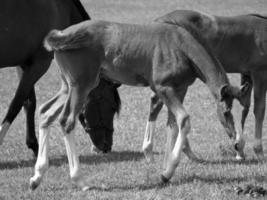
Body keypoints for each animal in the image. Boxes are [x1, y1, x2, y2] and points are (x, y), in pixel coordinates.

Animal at [29, 19, 251, 191]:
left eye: (242, 113)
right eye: (226, 112)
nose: (238, 145)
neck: (181, 46)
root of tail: (61, 35)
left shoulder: (180, 89)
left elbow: (172, 125)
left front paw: (165, 169)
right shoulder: (164, 88)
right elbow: (184, 120)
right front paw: (167, 172)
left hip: (67, 86)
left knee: (46, 112)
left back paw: (36, 177)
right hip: (82, 85)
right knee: (66, 121)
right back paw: (80, 181)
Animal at [142, 10, 267, 162]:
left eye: (241, 113)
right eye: (225, 112)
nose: (238, 145)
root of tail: (158, 20)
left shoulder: (246, 73)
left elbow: (247, 105)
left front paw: (240, 152)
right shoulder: (260, 72)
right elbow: (259, 110)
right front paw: (259, 152)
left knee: (157, 104)